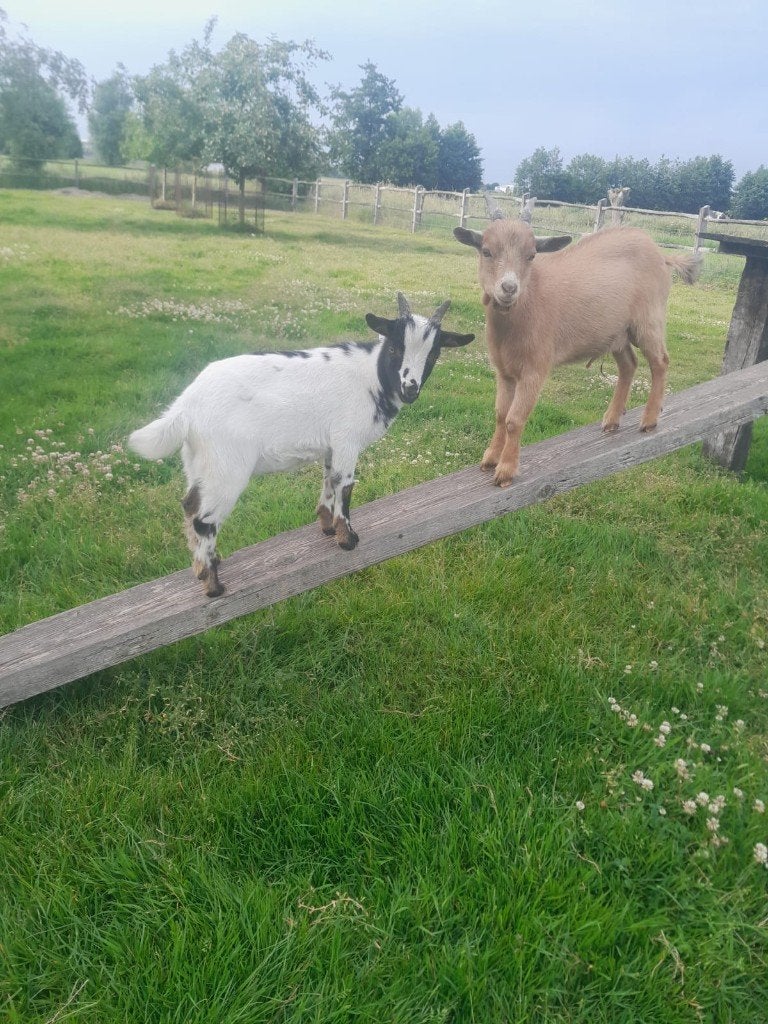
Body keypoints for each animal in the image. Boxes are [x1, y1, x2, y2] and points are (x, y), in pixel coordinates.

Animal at [128, 294, 474, 596]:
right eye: (395, 348)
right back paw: (213, 586)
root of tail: (186, 406)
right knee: (204, 518)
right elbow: (345, 485)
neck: (372, 378)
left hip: (199, 460)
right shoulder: (347, 439)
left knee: (189, 504)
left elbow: (329, 481)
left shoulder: (332, 444)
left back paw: (205, 566)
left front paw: (327, 526)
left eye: (434, 354)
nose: (410, 389)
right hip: (227, 465)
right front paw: (347, 539)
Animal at [454, 219, 701, 487]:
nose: (509, 288)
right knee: (629, 364)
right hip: (616, 333)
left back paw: (649, 420)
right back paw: (612, 419)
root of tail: (662, 256)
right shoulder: (504, 371)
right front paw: (490, 458)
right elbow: (500, 414)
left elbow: (514, 419)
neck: (526, 304)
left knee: (660, 362)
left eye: (531, 255)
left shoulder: (534, 369)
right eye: (486, 251)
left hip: (649, 320)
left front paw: (506, 470)